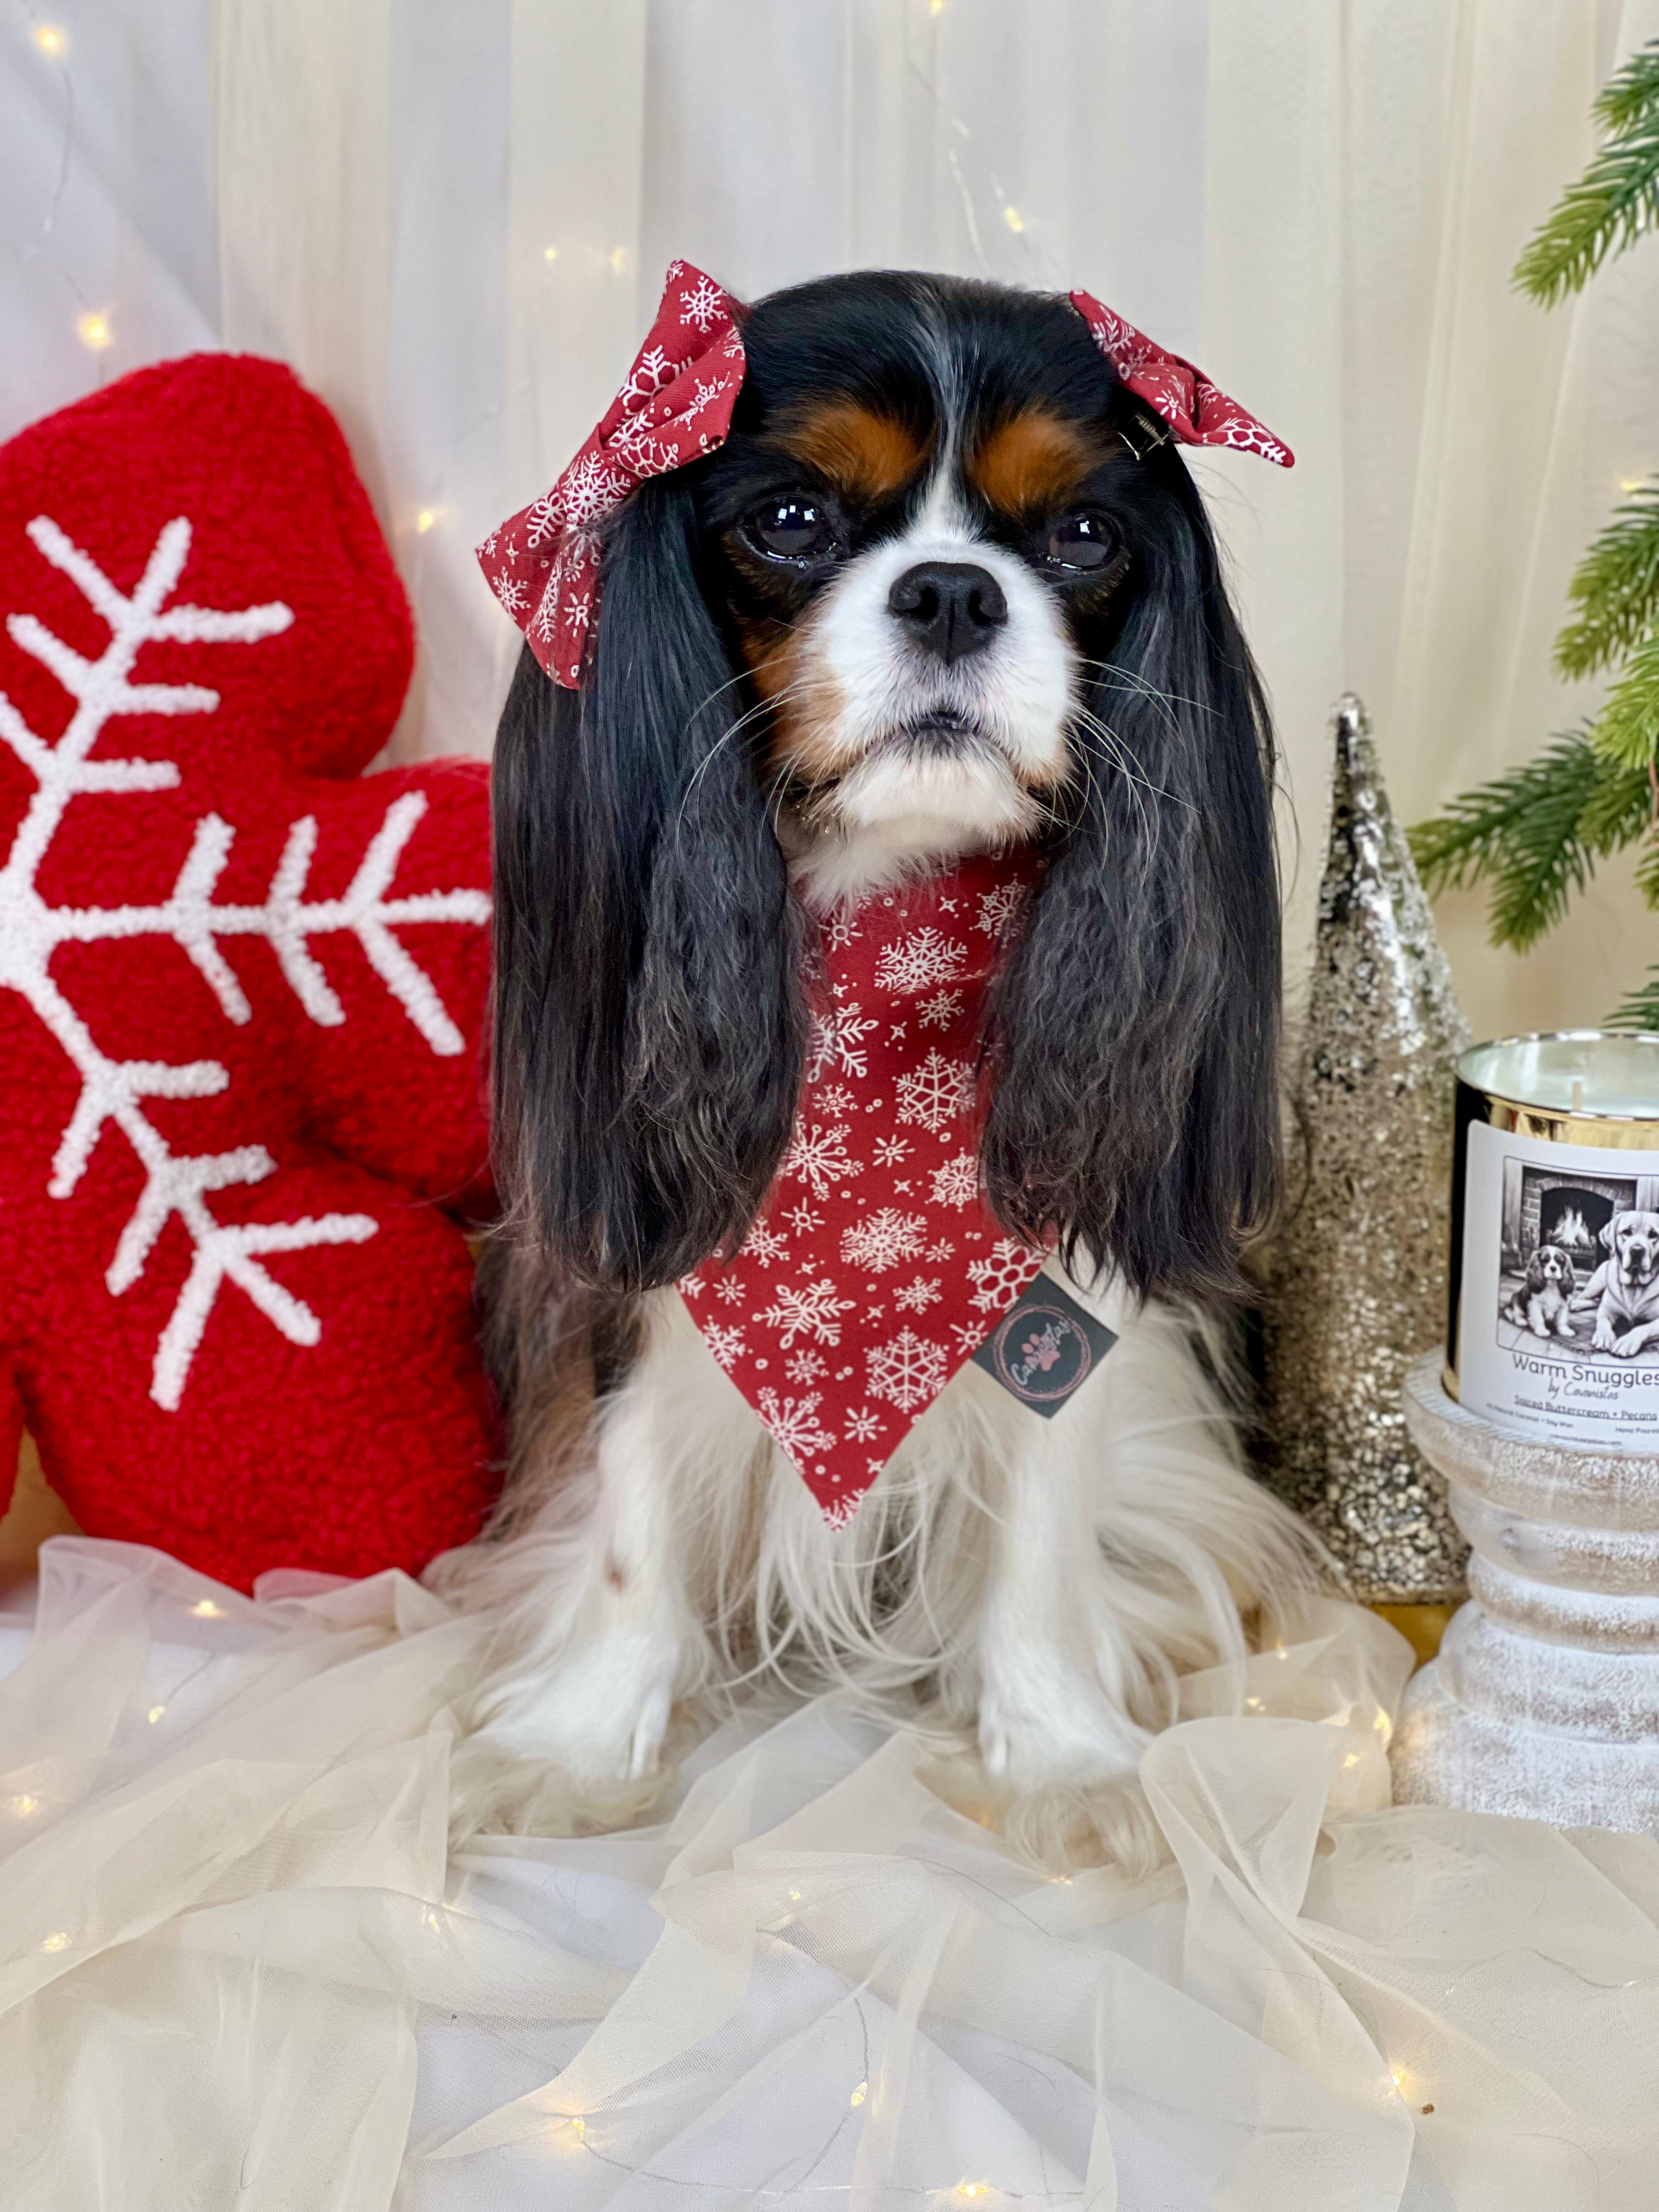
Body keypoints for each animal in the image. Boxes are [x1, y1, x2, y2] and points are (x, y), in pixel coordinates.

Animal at [436, 263, 1318, 1849]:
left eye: (1083, 534)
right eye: (791, 518)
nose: (956, 591)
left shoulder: (1058, 1276)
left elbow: (1041, 1524)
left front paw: (1062, 1756)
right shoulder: (639, 1247)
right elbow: (633, 1511)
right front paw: (585, 1743)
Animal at [1504, 1238, 1583, 1336]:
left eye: (1560, 1262)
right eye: (1545, 1261)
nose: (1553, 1268)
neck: (1551, 1285)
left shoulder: (1563, 1304)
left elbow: (1562, 1319)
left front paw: (1565, 1330)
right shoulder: (1535, 1303)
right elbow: (1539, 1318)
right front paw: (1542, 1331)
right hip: (1516, 1300)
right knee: (1515, 1313)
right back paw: (1521, 1321)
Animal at [1575, 1203, 1659, 1353]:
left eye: (1654, 1235)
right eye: (1627, 1232)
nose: (1637, 1250)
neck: (1634, 1286)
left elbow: (1643, 1328)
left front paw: (1627, 1342)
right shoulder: (1607, 1310)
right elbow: (1602, 1320)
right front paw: (1604, 1336)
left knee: (1597, 1301)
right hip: (1596, 1285)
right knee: (1586, 1297)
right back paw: (1575, 1304)